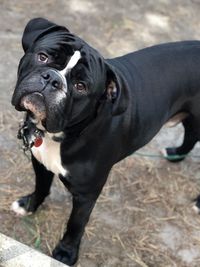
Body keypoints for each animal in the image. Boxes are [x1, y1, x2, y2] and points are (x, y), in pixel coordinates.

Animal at [11, 17, 200, 266]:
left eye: (81, 86)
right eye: (43, 57)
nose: (52, 78)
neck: (62, 133)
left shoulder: (86, 194)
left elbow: (76, 224)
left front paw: (66, 253)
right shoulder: (40, 163)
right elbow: (41, 186)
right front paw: (29, 205)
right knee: (191, 132)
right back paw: (177, 154)